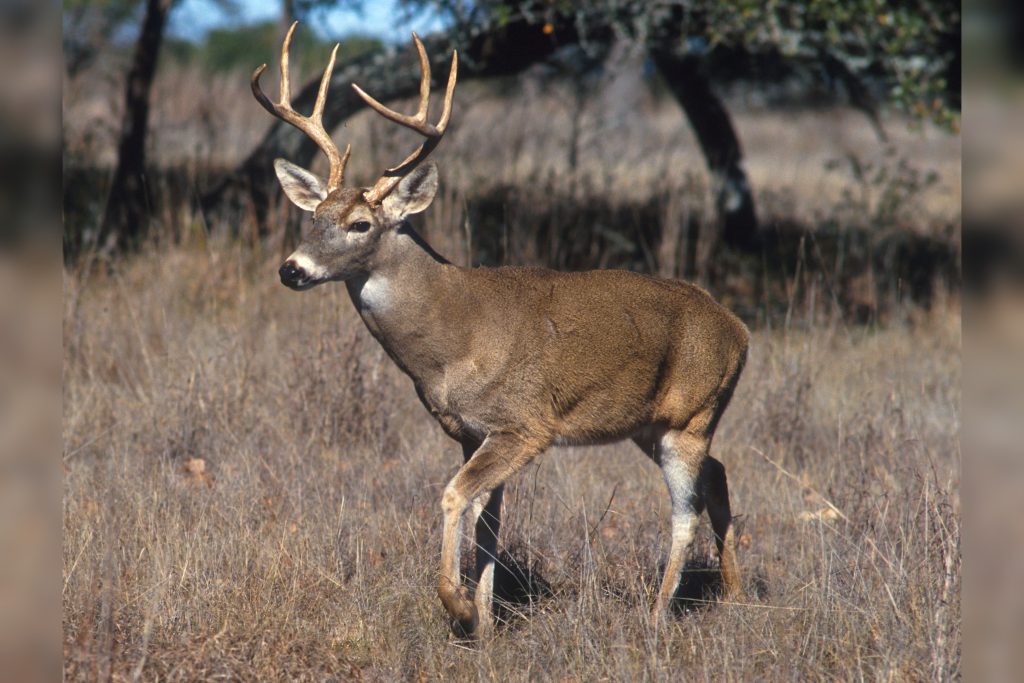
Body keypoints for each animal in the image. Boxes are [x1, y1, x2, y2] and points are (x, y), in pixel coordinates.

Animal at [253, 23, 749, 639]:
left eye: (360, 223)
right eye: (313, 217)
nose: (291, 269)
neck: (452, 340)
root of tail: (740, 330)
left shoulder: (524, 424)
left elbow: (453, 497)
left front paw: (460, 606)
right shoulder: (471, 431)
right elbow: (488, 522)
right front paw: (487, 623)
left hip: (691, 414)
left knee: (686, 509)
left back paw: (657, 616)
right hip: (652, 423)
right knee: (719, 475)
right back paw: (734, 596)